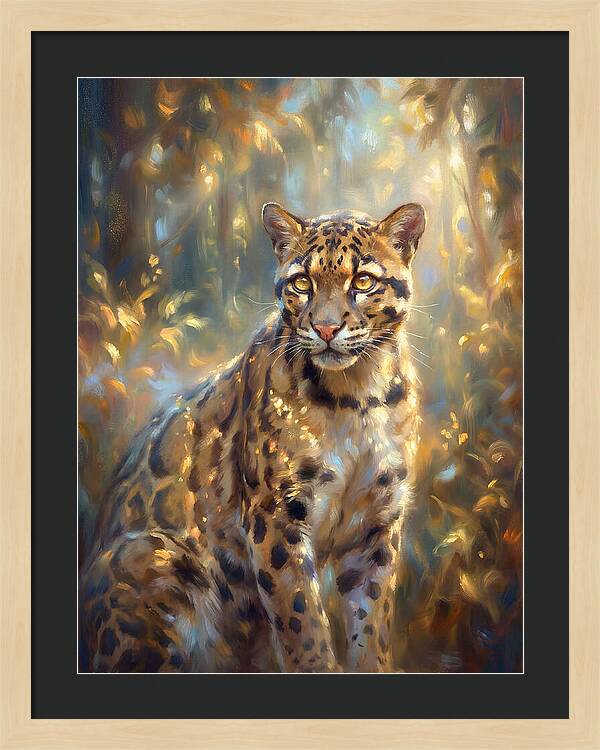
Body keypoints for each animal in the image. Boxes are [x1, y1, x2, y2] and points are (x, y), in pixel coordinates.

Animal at [80, 200, 426, 672]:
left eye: (363, 281)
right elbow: (302, 620)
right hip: (154, 556)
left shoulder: (377, 522)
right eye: (302, 282)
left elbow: (371, 620)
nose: (326, 328)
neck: (357, 397)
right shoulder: (276, 515)